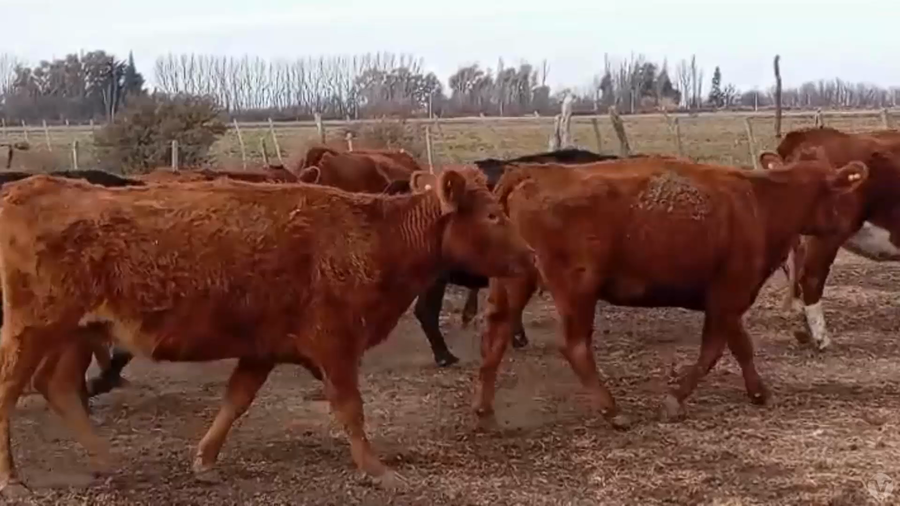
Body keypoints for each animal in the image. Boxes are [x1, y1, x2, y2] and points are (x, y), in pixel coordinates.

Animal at [0, 166, 534, 496]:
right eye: (492, 215)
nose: (530, 255)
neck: (373, 234)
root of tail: (25, 191)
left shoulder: (263, 350)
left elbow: (235, 401)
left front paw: (205, 461)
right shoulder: (336, 346)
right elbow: (351, 409)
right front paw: (377, 470)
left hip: (78, 333)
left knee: (57, 386)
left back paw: (109, 461)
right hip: (33, 331)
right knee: (11, 391)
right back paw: (12, 478)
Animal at [471, 150, 868, 431]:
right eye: (838, 193)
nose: (847, 226)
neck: (760, 201)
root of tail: (531, 173)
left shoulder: (724, 301)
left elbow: (739, 347)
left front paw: (758, 391)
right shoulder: (728, 296)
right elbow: (716, 350)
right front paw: (676, 400)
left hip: (514, 282)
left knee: (496, 333)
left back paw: (484, 412)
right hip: (577, 290)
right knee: (574, 346)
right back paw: (612, 410)